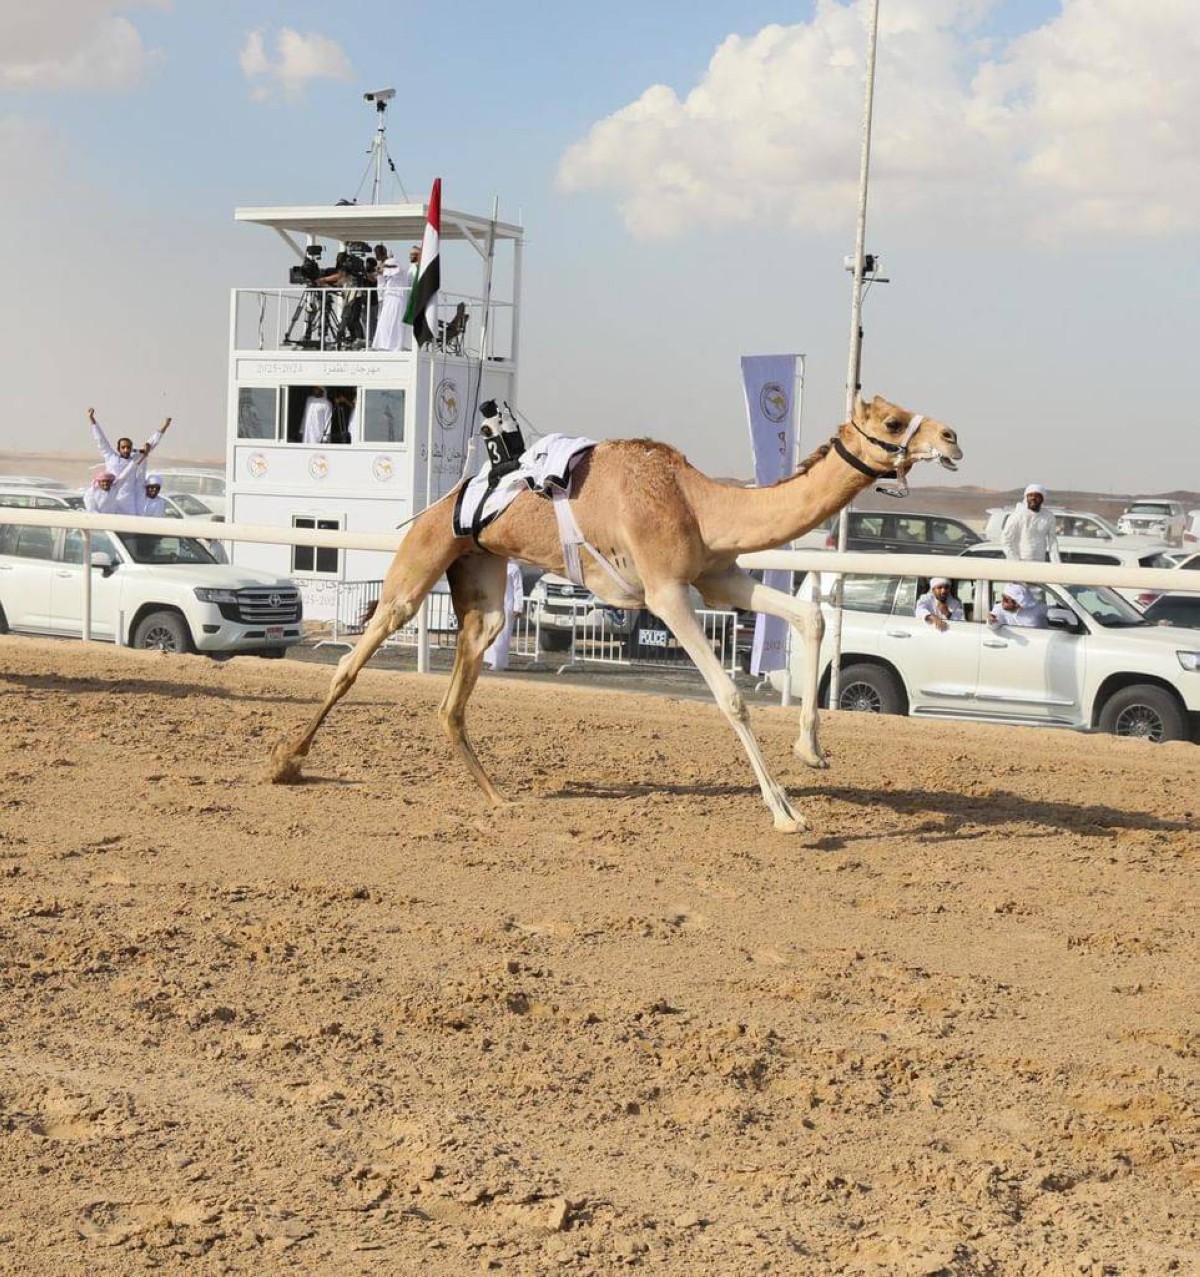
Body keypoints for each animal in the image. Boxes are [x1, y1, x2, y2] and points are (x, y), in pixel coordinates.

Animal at [270, 395, 963, 832]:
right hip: (418, 565)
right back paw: (285, 762)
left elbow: (811, 618)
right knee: (355, 659)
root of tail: (444, 502)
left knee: (453, 699)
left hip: (484, 586)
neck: (699, 502)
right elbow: (730, 698)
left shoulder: (718, 578)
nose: (952, 436)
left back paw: (499, 798)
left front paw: (813, 753)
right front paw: (787, 813)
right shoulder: (666, 592)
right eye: (896, 420)